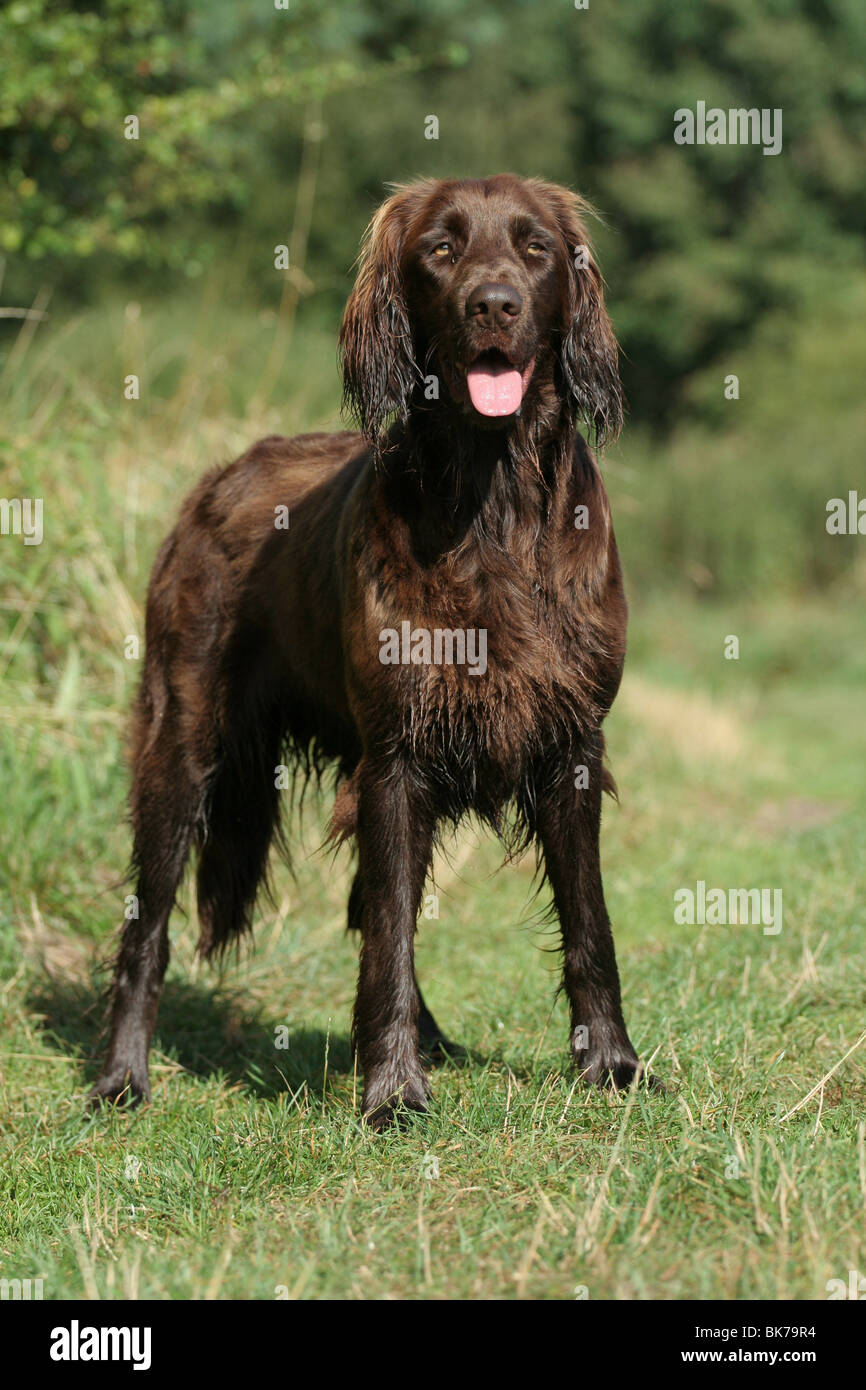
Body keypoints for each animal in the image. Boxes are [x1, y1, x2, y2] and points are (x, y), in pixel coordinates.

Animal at [93, 173, 650, 1128]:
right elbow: (390, 931)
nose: (494, 304)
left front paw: (610, 1064)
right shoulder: (397, 760)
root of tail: (218, 476)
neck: (492, 501)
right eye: (441, 249)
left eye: (536, 248)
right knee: (149, 927)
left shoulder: (571, 745)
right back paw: (124, 1077)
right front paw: (391, 1090)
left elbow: (589, 923)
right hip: (184, 746)